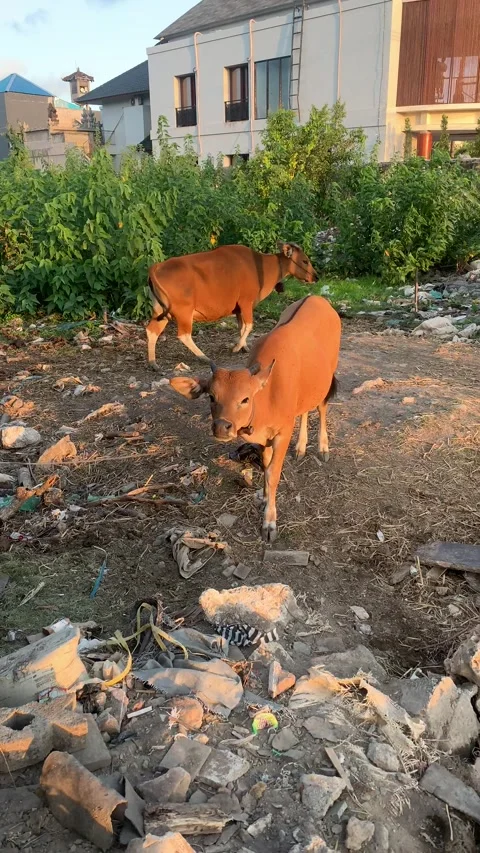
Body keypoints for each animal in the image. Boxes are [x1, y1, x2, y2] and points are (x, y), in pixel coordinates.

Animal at [146, 242, 317, 369]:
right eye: (305, 261)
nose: (315, 276)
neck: (261, 267)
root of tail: (156, 267)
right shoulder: (246, 303)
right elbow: (249, 326)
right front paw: (236, 347)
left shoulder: (238, 309)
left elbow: (242, 327)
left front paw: (244, 347)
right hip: (184, 312)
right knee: (184, 335)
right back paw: (204, 357)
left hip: (160, 311)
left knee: (151, 330)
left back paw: (153, 363)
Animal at [170, 294, 341, 542]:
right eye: (211, 396)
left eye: (245, 399)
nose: (222, 427)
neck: (267, 397)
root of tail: (318, 298)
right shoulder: (263, 439)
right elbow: (266, 467)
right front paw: (264, 498)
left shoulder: (282, 433)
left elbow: (272, 474)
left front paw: (269, 521)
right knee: (305, 410)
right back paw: (300, 447)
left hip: (327, 378)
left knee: (321, 407)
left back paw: (323, 447)